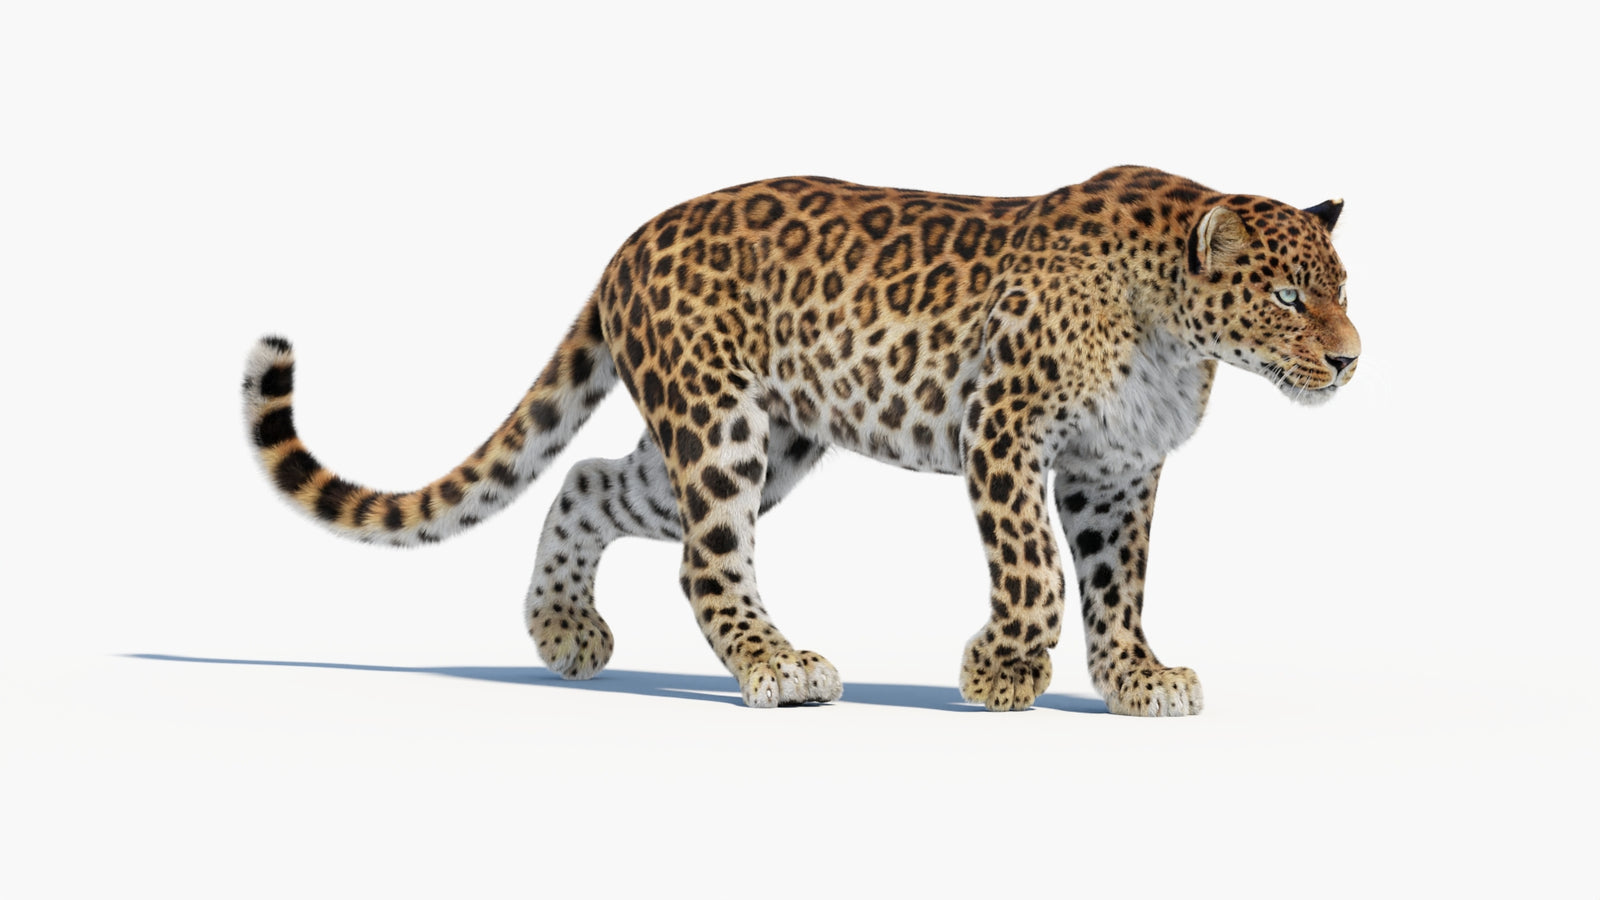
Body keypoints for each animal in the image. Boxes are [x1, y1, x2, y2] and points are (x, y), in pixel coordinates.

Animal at [241, 165, 1359, 716]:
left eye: (1345, 290)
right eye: (1286, 299)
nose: (1351, 361)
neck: (1175, 332)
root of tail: (628, 242)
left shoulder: (1116, 469)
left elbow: (1119, 586)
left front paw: (1138, 682)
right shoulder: (1003, 431)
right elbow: (1036, 570)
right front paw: (1000, 675)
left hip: (766, 441)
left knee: (591, 481)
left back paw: (566, 633)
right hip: (719, 425)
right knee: (705, 561)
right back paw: (777, 668)